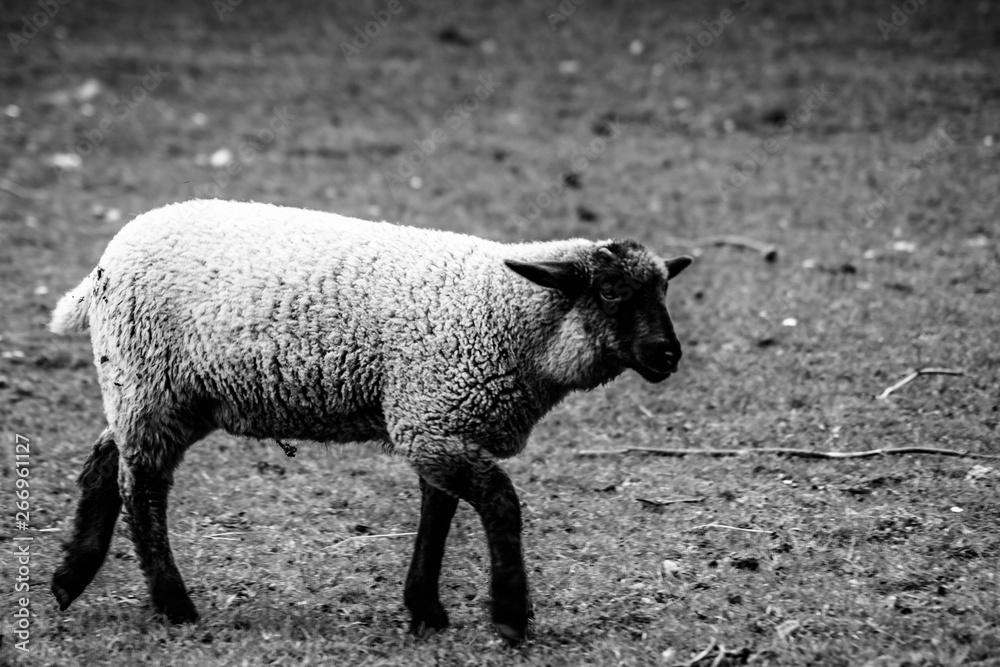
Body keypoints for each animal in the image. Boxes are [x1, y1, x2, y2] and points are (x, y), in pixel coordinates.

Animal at [49, 199, 693, 642]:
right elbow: (501, 503)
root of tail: (108, 258)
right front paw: (510, 616)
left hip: (166, 393)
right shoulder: (430, 421)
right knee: (142, 487)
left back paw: (69, 577)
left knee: (107, 460)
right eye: (610, 292)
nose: (667, 354)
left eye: (664, 289)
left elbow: (438, 515)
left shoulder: (441, 422)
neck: (508, 314)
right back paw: (173, 605)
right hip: (147, 378)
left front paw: (426, 611)